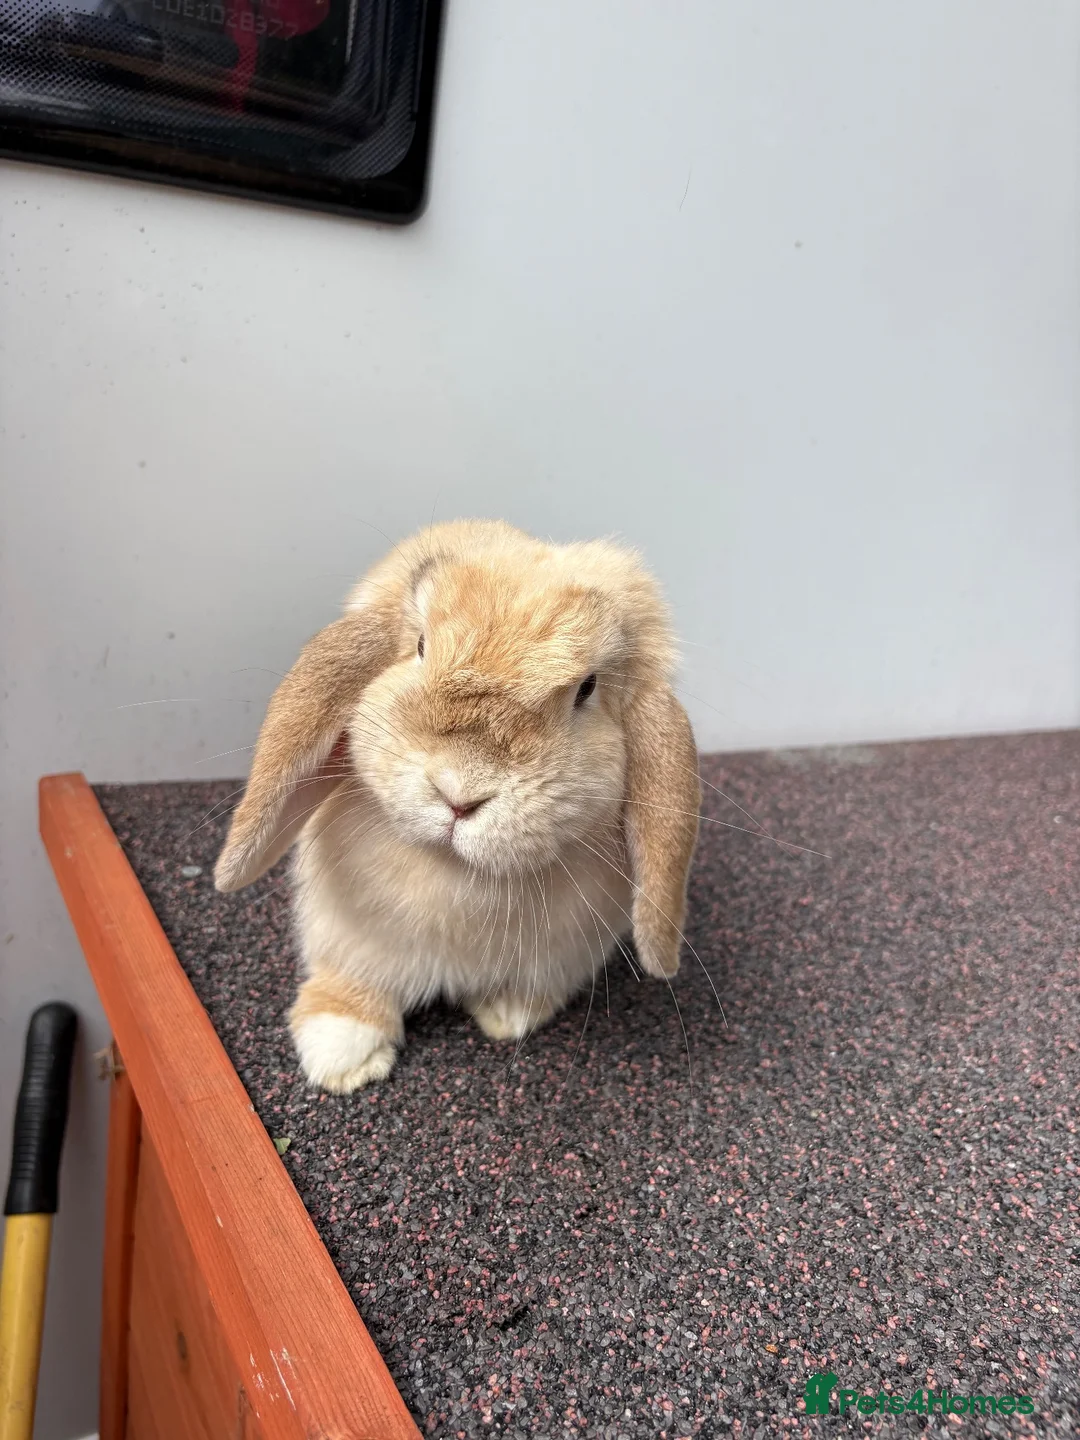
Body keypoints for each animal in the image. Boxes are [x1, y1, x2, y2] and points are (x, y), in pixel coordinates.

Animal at [214, 519, 700, 1093]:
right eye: (421, 646)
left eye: (587, 688)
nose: (459, 795)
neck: (455, 872)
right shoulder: (349, 937)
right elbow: (353, 986)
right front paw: (340, 1058)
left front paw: (511, 1016)